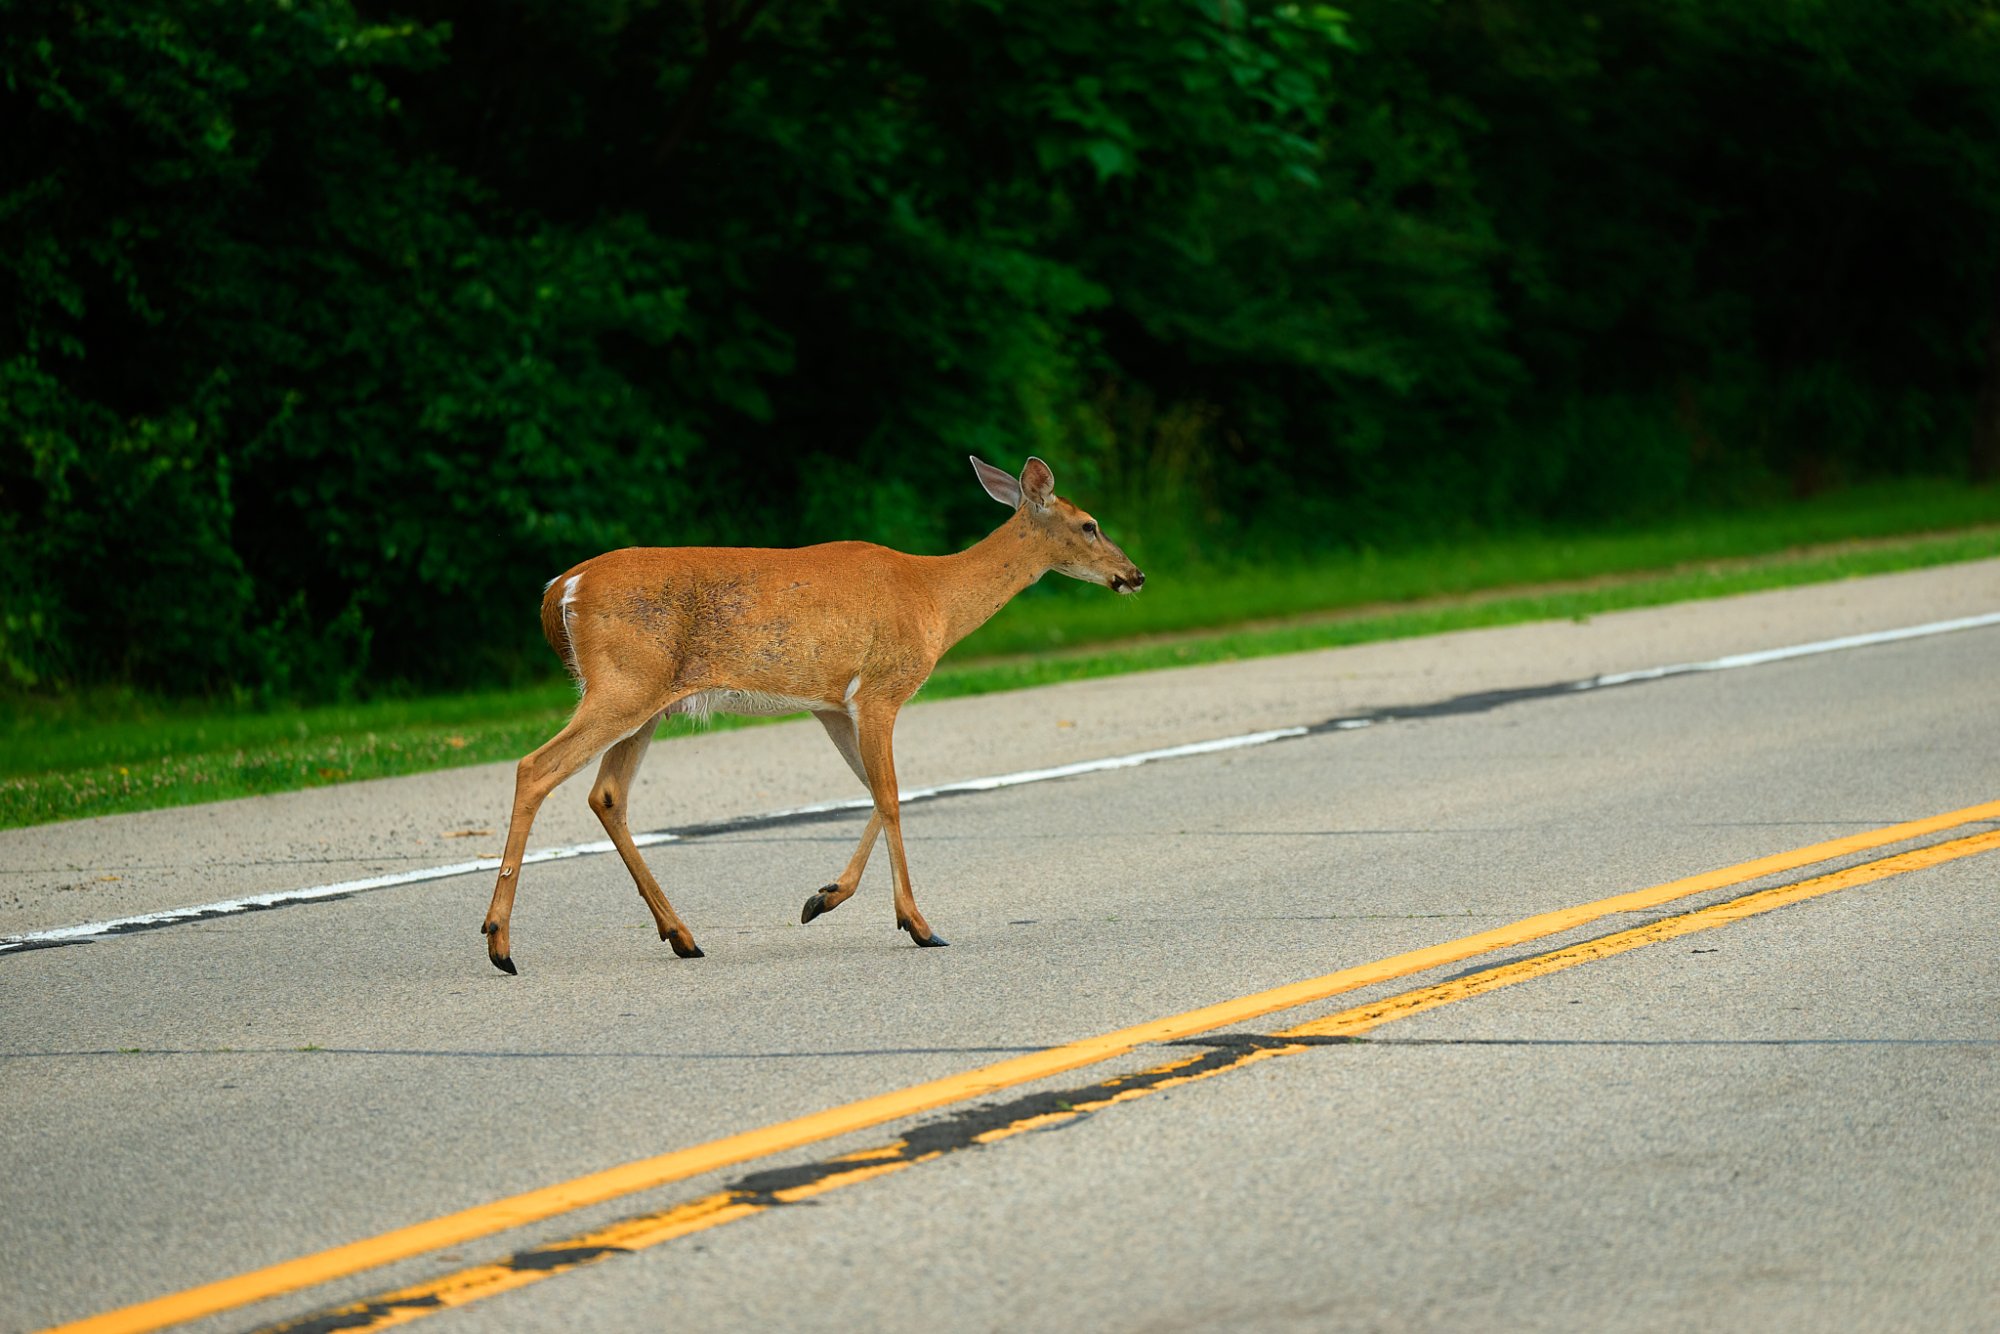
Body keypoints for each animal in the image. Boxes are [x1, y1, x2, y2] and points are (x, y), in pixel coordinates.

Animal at [476, 456, 1144, 972]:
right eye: (1089, 524)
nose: (1134, 574)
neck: (935, 599)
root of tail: (560, 588)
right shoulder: (880, 689)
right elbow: (892, 795)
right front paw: (918, 923)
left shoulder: (833, 706)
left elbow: (875, 792)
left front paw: (824, 898)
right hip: (622, 685)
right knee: (535, 767)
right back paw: (500, 943)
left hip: (644, 702)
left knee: (607, 794)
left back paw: (682, 936)